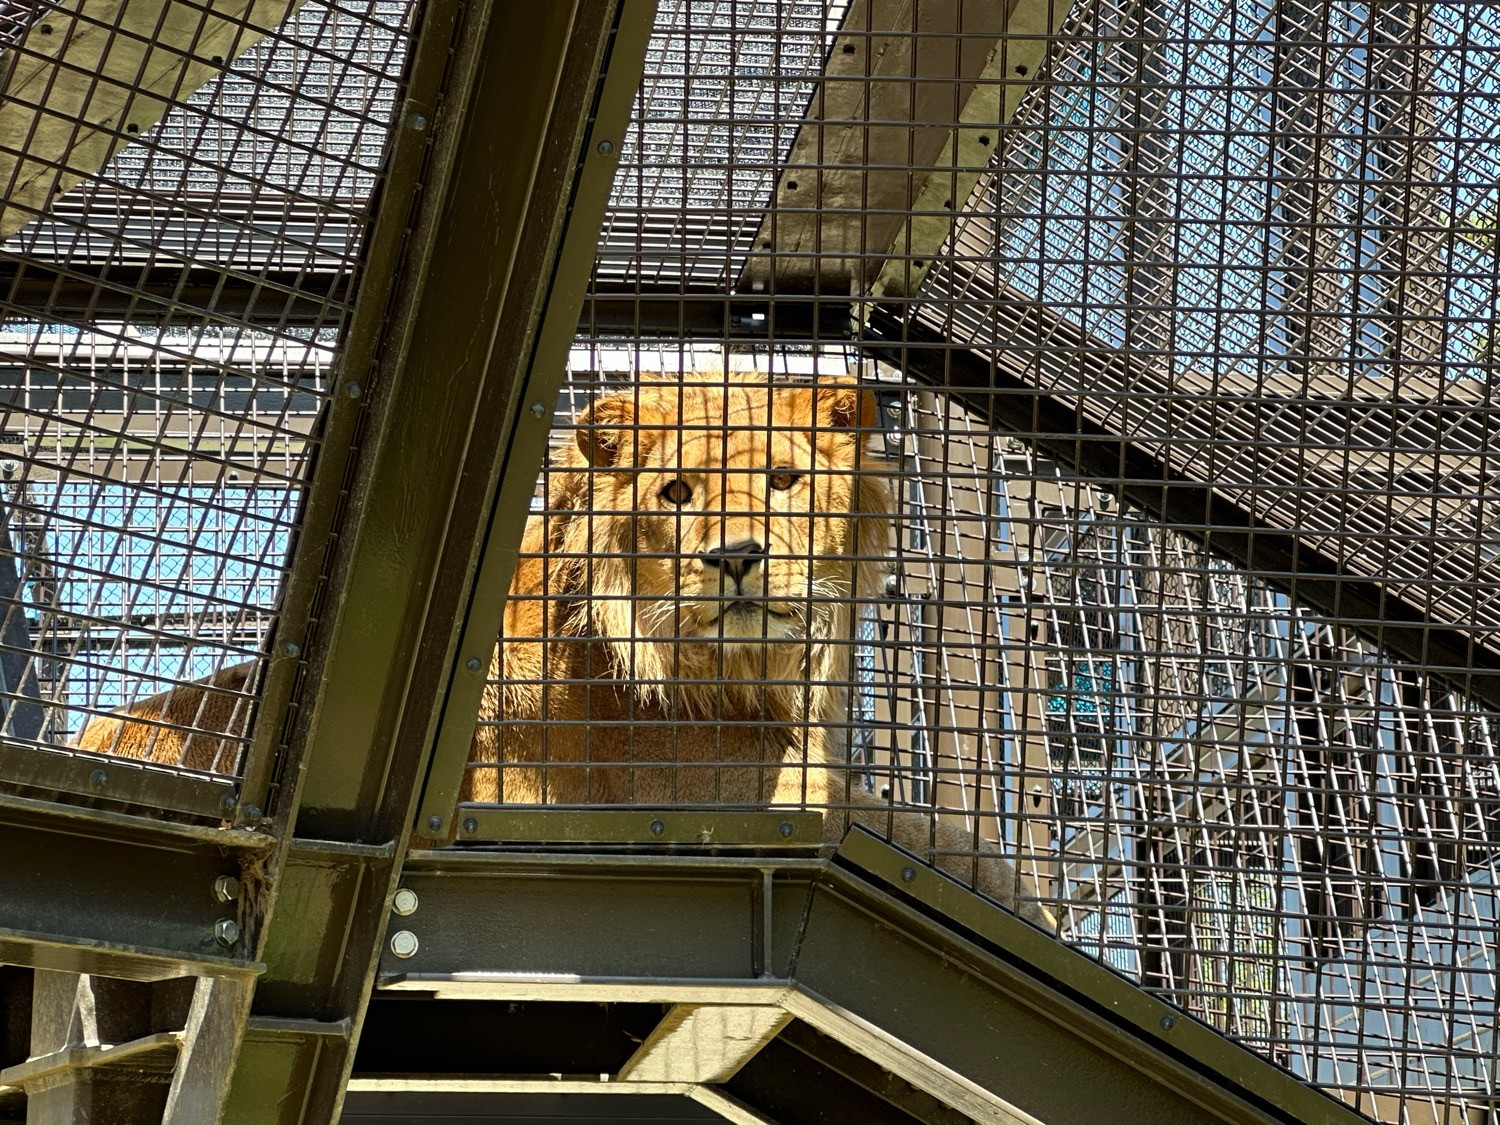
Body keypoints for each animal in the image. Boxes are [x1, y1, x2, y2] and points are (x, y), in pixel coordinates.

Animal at [73, 375, 1056, 930]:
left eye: (785, 479)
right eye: (677, 490)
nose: (736, 556)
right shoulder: (729, 791)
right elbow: (925, 836)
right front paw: (1026, 901)